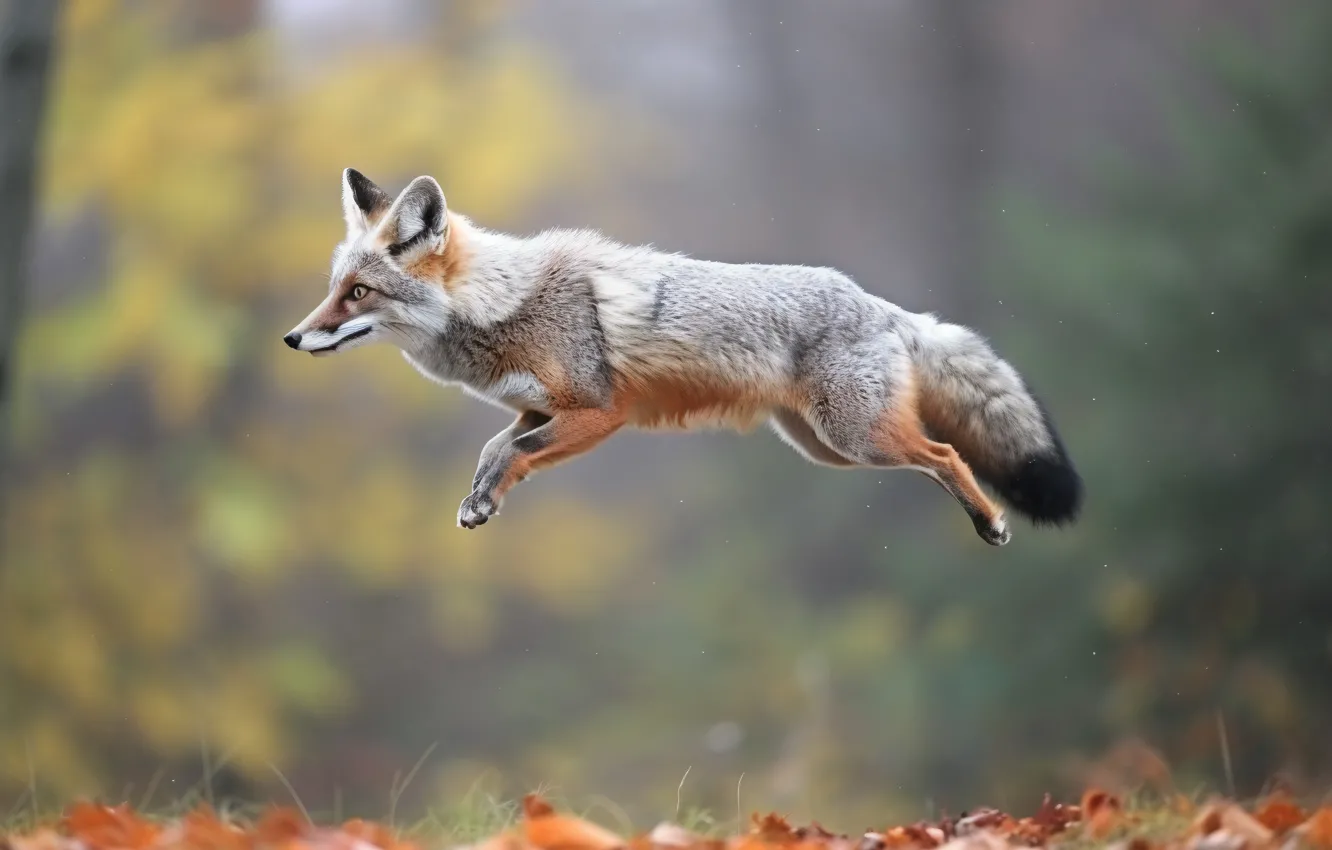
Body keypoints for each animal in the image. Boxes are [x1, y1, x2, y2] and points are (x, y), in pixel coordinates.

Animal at [284, 168, 1082, 545]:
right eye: (332, 289)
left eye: (358, 293)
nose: (292, 339)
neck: (503, 307)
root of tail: (881, 303)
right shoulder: (538, 410)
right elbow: (492, 449)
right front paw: (479, 502)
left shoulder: (599, 414)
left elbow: (513, 453)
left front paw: (484, 501)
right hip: (830, 450)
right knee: (940, 457)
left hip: (858, 438)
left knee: (948, 454)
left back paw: (992, 524)